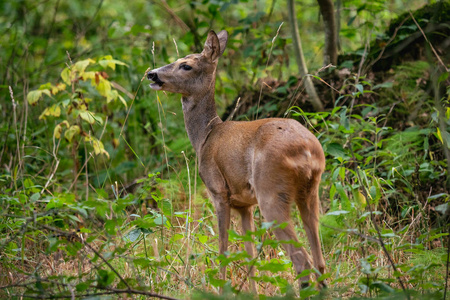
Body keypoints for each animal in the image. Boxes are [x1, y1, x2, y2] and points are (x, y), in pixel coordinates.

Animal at [148, 30, 326, 290]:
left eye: (186, 65)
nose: (152, 73)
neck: (205, 136)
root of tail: (308, 150)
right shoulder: (244, 205)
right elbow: (250, 253)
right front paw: (251, 291)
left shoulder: (218, 192)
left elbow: (223, 249)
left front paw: (220, 288)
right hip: (311, 191)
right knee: (320, 260)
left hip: (271, 192)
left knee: (302, 260)